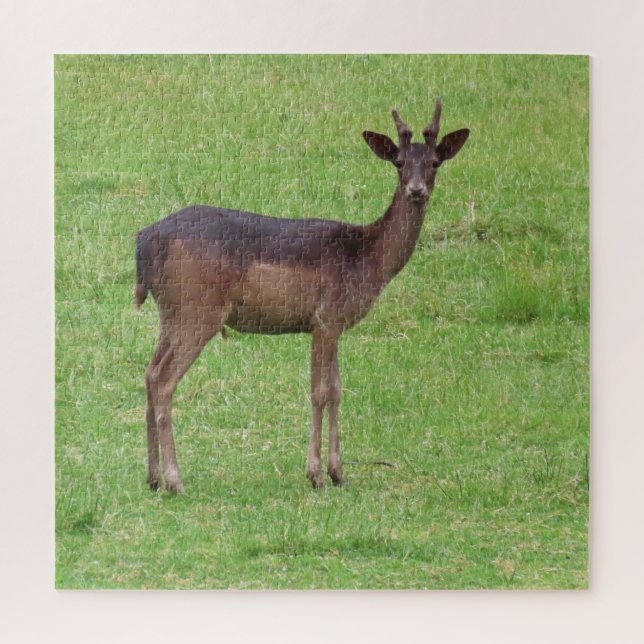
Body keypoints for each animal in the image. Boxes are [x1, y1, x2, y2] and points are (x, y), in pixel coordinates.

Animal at [135, 99, 469, 493]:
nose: (416, 190)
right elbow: (319, 391)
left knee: (149, 373)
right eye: (399, 162)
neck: (367, 257)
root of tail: (147, 239)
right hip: (197, 309)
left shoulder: (333, 323)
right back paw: (175, 480)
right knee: (164, 380)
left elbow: (338, 389)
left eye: (434, 162)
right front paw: (316, 475)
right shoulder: (326, 316)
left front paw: (339, 472)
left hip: (171, 312)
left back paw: (153, 477)